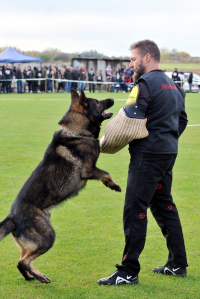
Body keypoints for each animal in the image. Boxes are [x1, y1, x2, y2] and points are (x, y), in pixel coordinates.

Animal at [0, 90, 120, 284]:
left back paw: (31, 277)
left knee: (21, 261)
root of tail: (12, 216)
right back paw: (40, 277)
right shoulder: (88, 170)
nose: (112, 98)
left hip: (30, 244)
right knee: (23, 262)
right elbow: (106, 173)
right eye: (97, 102)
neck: (77, 132)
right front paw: (113, 185)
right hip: (48, 237)